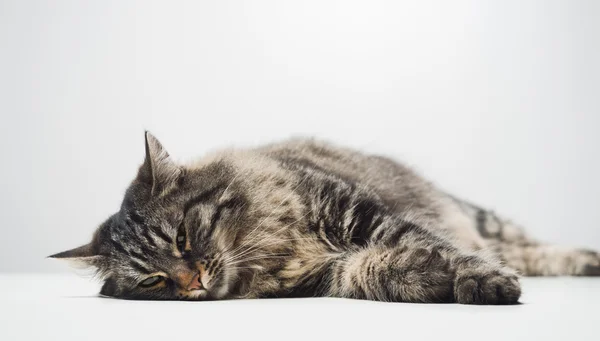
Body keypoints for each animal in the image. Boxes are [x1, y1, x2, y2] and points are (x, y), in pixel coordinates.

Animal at [50, 131, 600, 302]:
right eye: (152, 281)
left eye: (183, 237)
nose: (193, 283)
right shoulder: (327, 274)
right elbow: (375, 268)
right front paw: (432, 279)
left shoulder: (359, 213)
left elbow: (432, 242)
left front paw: (483, 279)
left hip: (485, 221)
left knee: (529, 248)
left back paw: (587, 259)